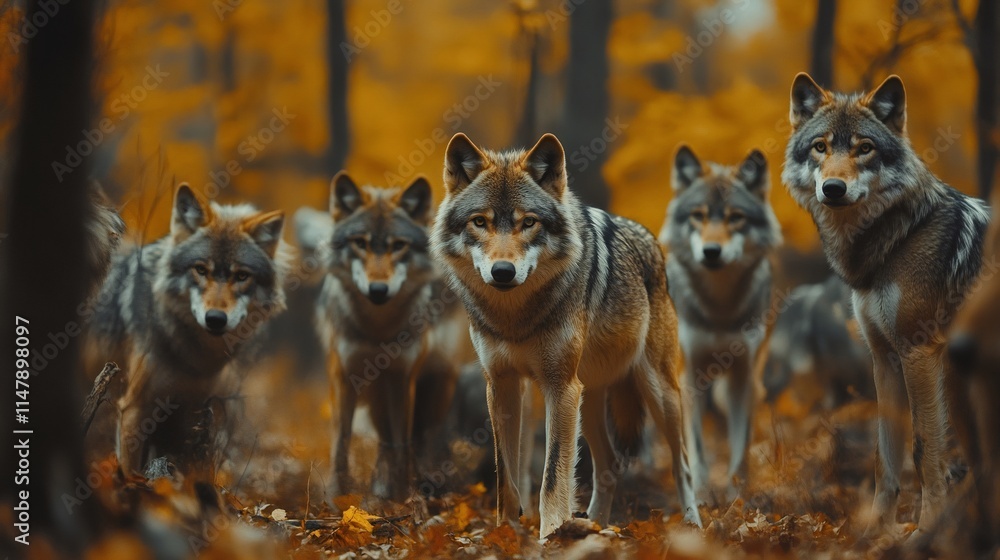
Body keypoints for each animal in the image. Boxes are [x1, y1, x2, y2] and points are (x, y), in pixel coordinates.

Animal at [87, 184, 289, 478]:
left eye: (241, 276)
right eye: (200, 270)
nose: (215, 319)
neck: (192, 356)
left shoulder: (195, 412)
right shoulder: (133, 411)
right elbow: (130, 472)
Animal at [304, 173, 469, 501]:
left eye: (398, 246)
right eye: (360, 243)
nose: (378, 290)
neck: (376, 331)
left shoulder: (402, 378)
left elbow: (402, 442)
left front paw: (404, 498)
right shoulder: (343, 376)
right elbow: (341, 444)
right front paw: (338, 499)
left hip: (438, 383)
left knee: (425, 436)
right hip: (377, 392)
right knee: (385, 440)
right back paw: (380, 488)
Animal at [430, 132, 702, 537]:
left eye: (529, 222)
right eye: (480, 221)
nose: (503, 271)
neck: (516, 317)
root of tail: (652, 242)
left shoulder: (559, 387)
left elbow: (552, 476)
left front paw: (550, 536)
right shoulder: (502, 385)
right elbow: (507, 478)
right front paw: (506, 534)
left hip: (655, 391)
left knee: (681, 464)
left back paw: (692, 525)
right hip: (586, 399)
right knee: (609, 465)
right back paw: (596, 527)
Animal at [660, 145, 781, 500]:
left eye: (735, 216)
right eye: (698, 215)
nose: (712, 251)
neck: (720, 309)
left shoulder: (743, 376)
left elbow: (740, 447)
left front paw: (736, 499)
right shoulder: (689, 375)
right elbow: (697, 447)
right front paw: (701, 494)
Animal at [783, 72, 991, 534]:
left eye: (865, 148)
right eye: (820, 146)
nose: (833, 188)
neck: (900, 237)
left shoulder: (919, 353)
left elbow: (923, 449)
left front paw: (926, 528)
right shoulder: (884, 357)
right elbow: (885, 457)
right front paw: (876, 532)